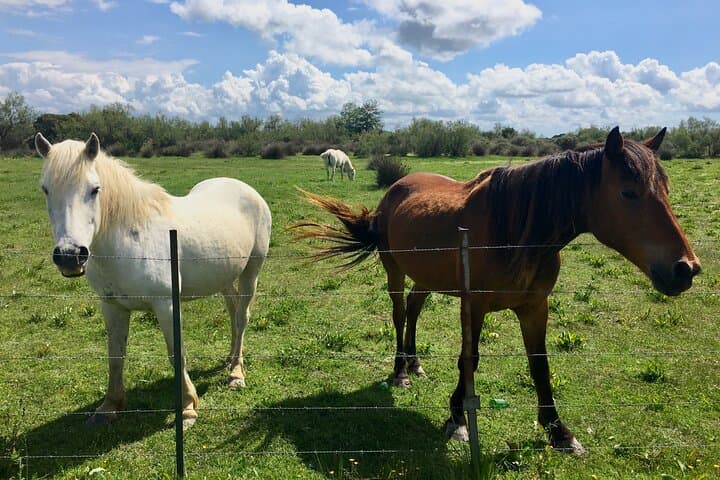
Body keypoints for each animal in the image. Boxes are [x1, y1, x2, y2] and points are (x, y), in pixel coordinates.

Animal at [35, 133, 272, 429]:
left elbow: (176, 353)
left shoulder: (166, 305)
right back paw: (230, 358)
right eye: (45, 189)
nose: (70, 256)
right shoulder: (112, 306)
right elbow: (115, 355)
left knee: (241, 318)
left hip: (251, 271)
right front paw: (108, 407)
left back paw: (236, 374)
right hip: (224, 276)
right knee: (233, 310)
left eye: (94, 189)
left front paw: (187, 408)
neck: (130, 239)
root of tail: (247, 190)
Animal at [292, 127, 700, 453]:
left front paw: (559, 432)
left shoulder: (535, 308)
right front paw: (457, 418)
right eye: (629, 193)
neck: (515, 233)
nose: (686, 269)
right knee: (398, 313)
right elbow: (468, 359)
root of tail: (395, 189)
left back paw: (415, 363)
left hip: (425, 278)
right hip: (394, 270)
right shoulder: (473, 307)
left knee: (414, 309)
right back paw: (400, 372)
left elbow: (540, 365)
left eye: (665, 189)